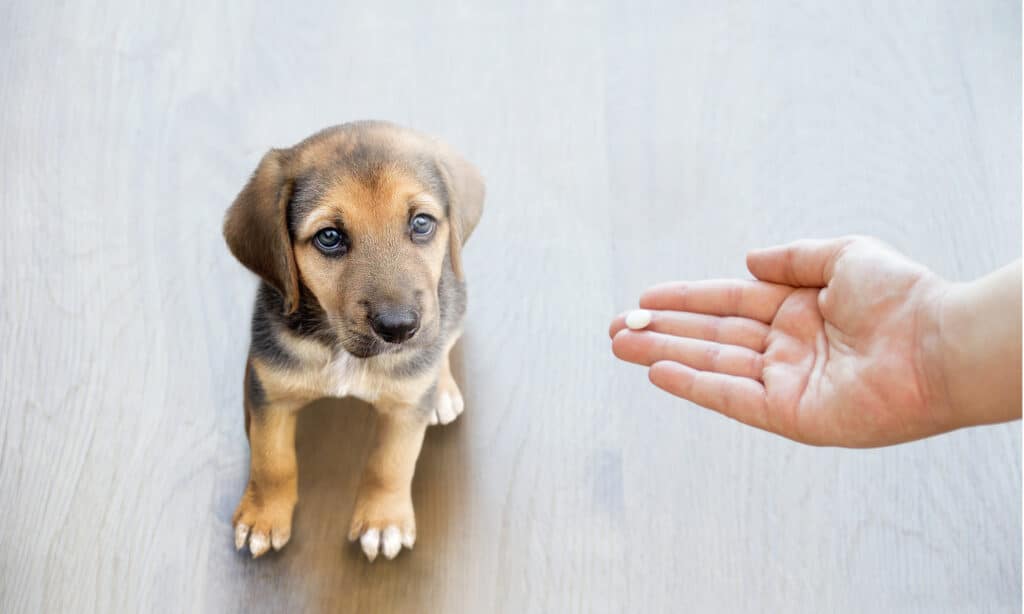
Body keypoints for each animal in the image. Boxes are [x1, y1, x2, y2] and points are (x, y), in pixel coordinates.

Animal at [221, 119, 483, 560]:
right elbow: (272, 461)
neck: (342, 350)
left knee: (444, 341)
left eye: (421, 223)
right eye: (329, 237)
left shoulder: (405, 407)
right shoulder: (270, 391)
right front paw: (263, 517)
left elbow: (390, 463)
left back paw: (442, 389)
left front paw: (383, 521)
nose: (399, 328)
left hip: (454, 299)